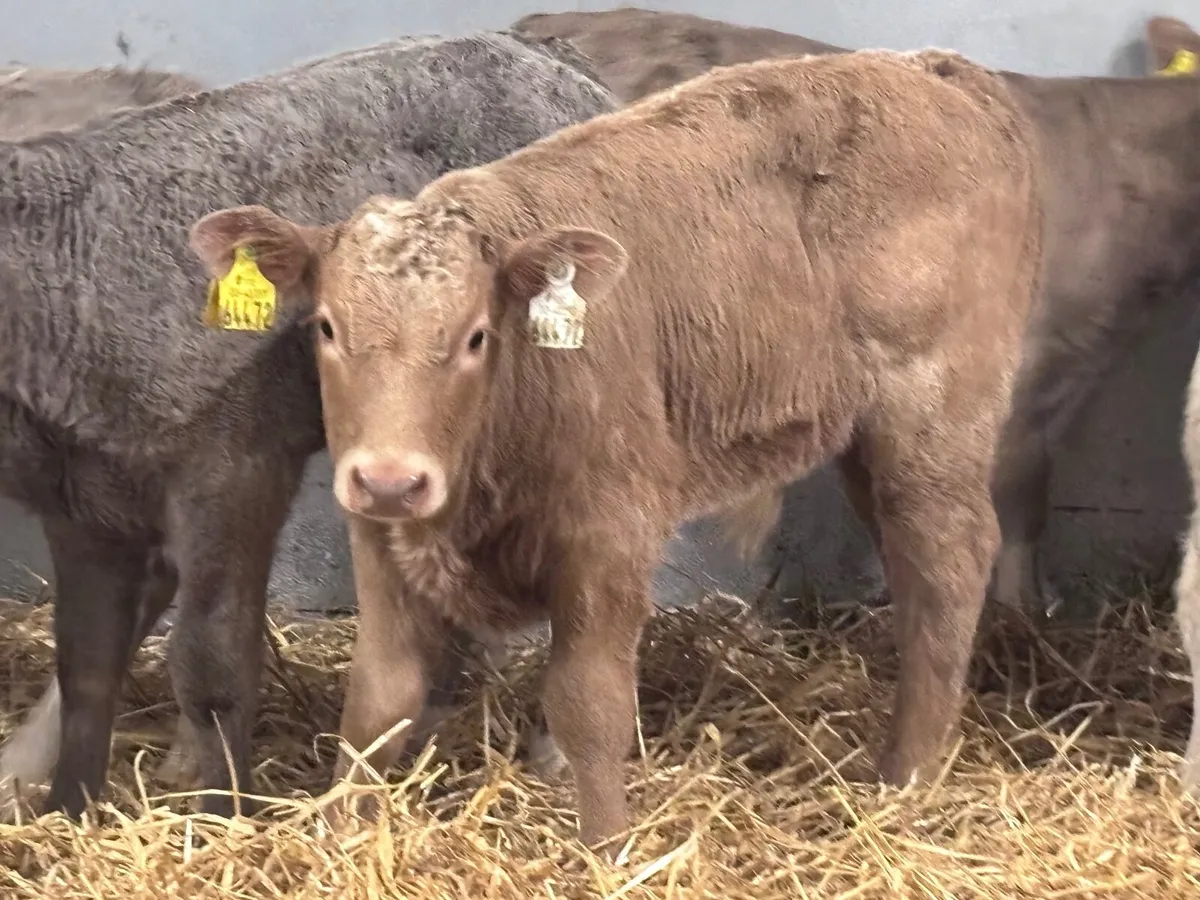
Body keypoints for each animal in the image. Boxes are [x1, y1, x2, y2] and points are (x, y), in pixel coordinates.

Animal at [0, 30, 617, 823]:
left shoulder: (234, 463)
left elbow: (212, 663)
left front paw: (222, 815)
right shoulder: (82, 499)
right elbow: (86, 666)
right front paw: (71, 810)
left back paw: (554, 751)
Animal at [191, 48, 1043, 850]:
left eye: (475, 336)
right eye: (328, 327)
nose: (394, 479)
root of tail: (931, 67)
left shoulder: (611, 537)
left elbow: (588, 705)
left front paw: (607, 849)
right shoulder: (378, 534)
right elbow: (378, 700)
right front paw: (342, 830)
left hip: (934, 413)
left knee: (949, 560)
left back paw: (907, 778)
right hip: (871, 439)